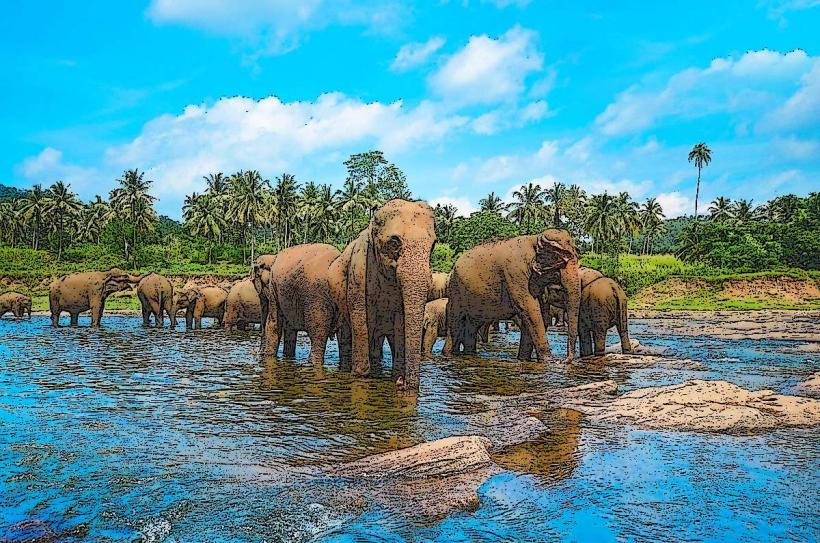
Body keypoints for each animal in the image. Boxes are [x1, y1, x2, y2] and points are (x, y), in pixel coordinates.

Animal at [330, 200, 438, 392]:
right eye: (394, 242)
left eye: (433, 245)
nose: (402, 384)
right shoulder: (359, 271)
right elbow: (361, 319)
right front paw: (361, 375)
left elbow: (401, 322)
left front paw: (397, 375)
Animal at [446, 227, 580, 364]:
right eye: (562, 260)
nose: (562, 361)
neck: (535, 238)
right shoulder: (515, 273)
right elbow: (531, 310)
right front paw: (548, 361)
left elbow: (539, 312)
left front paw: (524, 359)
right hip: (455, 291)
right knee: (455, 323)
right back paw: (448, 354)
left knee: (472, 326)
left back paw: (469, 354)